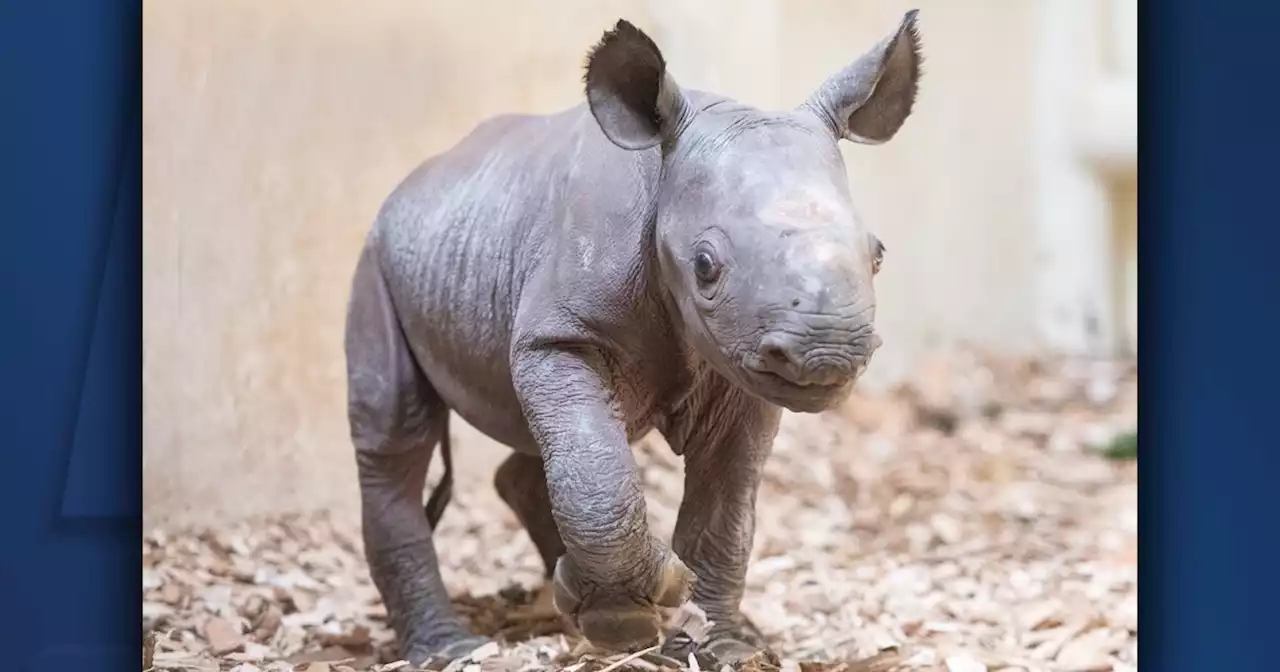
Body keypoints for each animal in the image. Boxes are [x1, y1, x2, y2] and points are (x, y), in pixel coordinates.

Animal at [340, 10, 921, 665]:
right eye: (705, 266)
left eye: (878, 256)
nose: (826, 354)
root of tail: (413, 183)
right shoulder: (560, 334)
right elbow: (599, 466)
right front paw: (627, 620)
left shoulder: (742, 363)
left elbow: (726, 506)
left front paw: (714, 645)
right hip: (378, 258)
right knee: (397, 433)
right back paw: (455, 650)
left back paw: (566, 607)